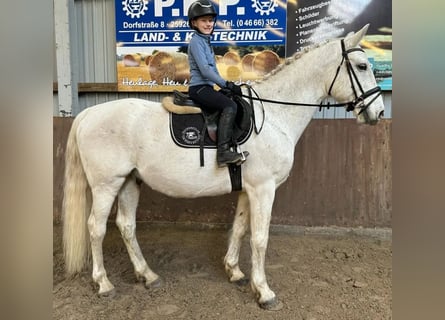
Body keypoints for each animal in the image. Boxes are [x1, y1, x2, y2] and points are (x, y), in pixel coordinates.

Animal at [63, 25, 386, 310]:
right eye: (361, 66)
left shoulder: (248, 189)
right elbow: (259, 238)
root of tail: (88, 113)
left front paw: (235, 272)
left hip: (130, 181)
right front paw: (264, 293)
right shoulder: (264, 189)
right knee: (96, 228)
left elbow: (240, 228)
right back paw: (104, 284)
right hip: (106, 185)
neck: (275, 115)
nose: (379, 112)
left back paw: (148, 276)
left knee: (126, 226)